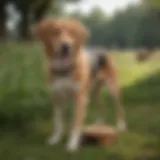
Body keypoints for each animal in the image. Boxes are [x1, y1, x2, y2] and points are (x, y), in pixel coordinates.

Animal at [35, 17, 126, 151]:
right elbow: (58, 122)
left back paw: (121, 125)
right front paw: (55, 139)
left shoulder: (79, 98)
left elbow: (76, 123)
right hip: (93, 92)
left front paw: (72, 144)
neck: (64, 70)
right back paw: (99, 124)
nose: (65, 46)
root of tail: (103, 49)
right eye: (55, 32)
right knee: (102, 105)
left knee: (119, 107)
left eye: (72, 33)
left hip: (112, 88)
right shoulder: (57, 98)